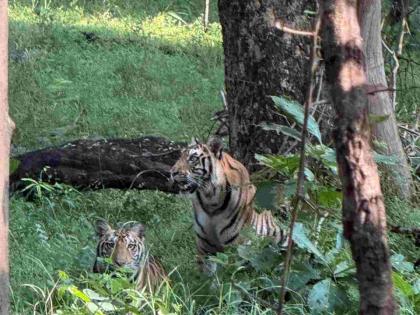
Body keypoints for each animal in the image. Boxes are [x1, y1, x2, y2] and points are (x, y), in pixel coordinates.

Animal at [170, 137, 286, 272]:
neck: (210, 200)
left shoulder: (236, 245)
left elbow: (231, 272)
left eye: (193, 158)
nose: (172, 172)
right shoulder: (204, 246)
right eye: (180, 156)